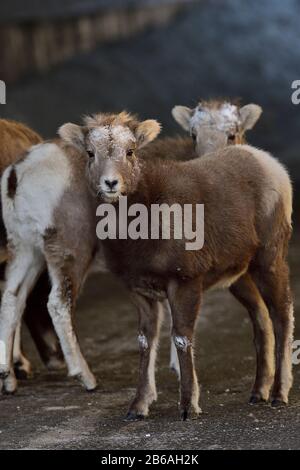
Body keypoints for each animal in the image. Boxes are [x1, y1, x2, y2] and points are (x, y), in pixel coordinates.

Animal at [62, 112, 292, 420]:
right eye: (90, 152)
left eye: (130, 151)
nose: (110, 183)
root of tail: (270, 164)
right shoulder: (139, 291)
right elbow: (145, 342)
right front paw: (138, 408)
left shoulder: (184, 282)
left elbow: (181, 338)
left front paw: (188, 407)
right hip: (239, 276)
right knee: (261, 319)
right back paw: (258, 392)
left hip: (269, 259)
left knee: (281, 315)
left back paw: (279, 394)